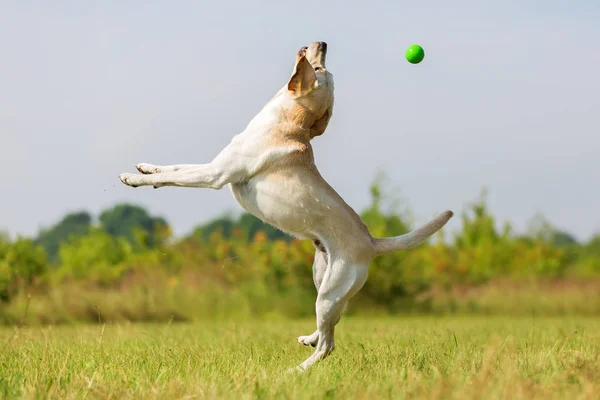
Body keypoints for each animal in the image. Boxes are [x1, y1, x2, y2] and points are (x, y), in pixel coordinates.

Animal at [119, 42, 452, 370]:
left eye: (317, 68)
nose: (322, 43)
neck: (288, 121)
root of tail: (372, 242)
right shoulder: (214, 165)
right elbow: (174, 167)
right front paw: (146, 168)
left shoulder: (215, 175)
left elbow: (177, 176)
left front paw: (132, 179)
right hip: (323, 279)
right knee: (330, 327)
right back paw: (309, 339)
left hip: (330, 291)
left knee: (329, 345)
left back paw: (295, 370)